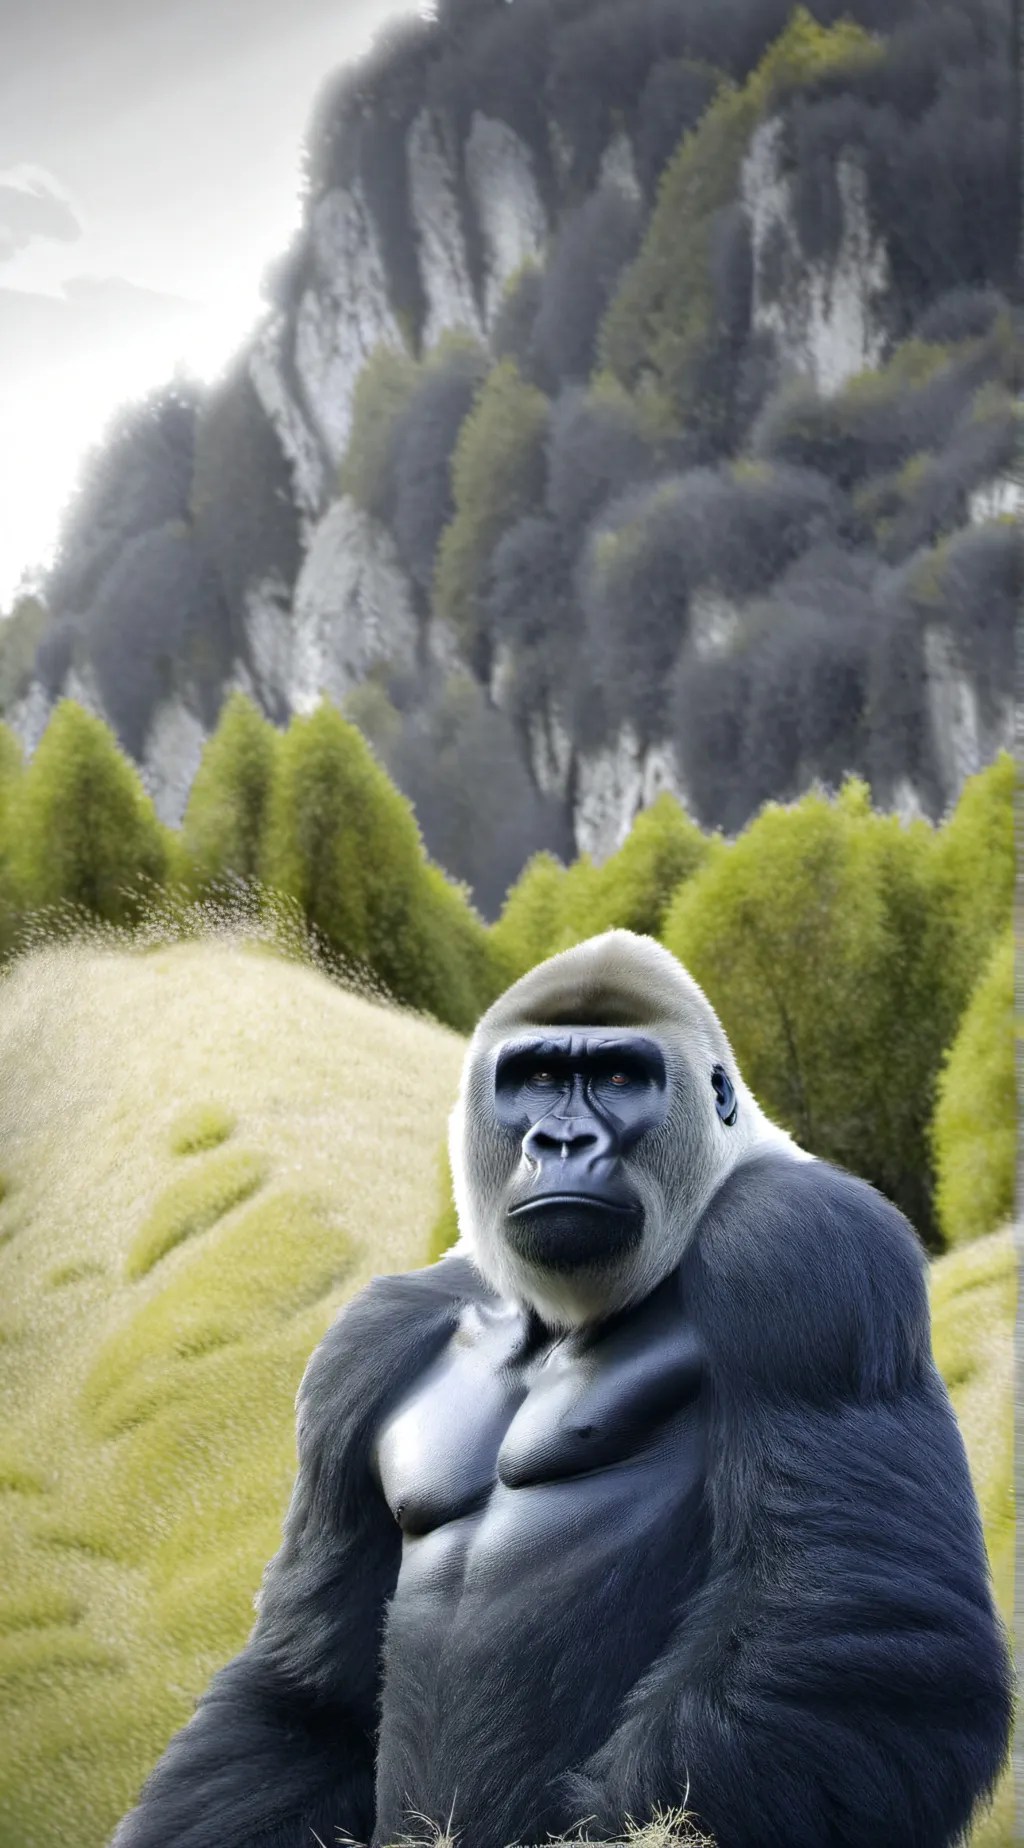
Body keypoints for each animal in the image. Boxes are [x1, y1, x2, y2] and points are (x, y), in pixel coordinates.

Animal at [111, 929, 1012, 1848]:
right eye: (537, 1078)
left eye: (618, 1078)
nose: (561, 1141)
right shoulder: (365, 1345)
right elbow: (306, 1696)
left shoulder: (802, 1242)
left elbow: (857, 1630)